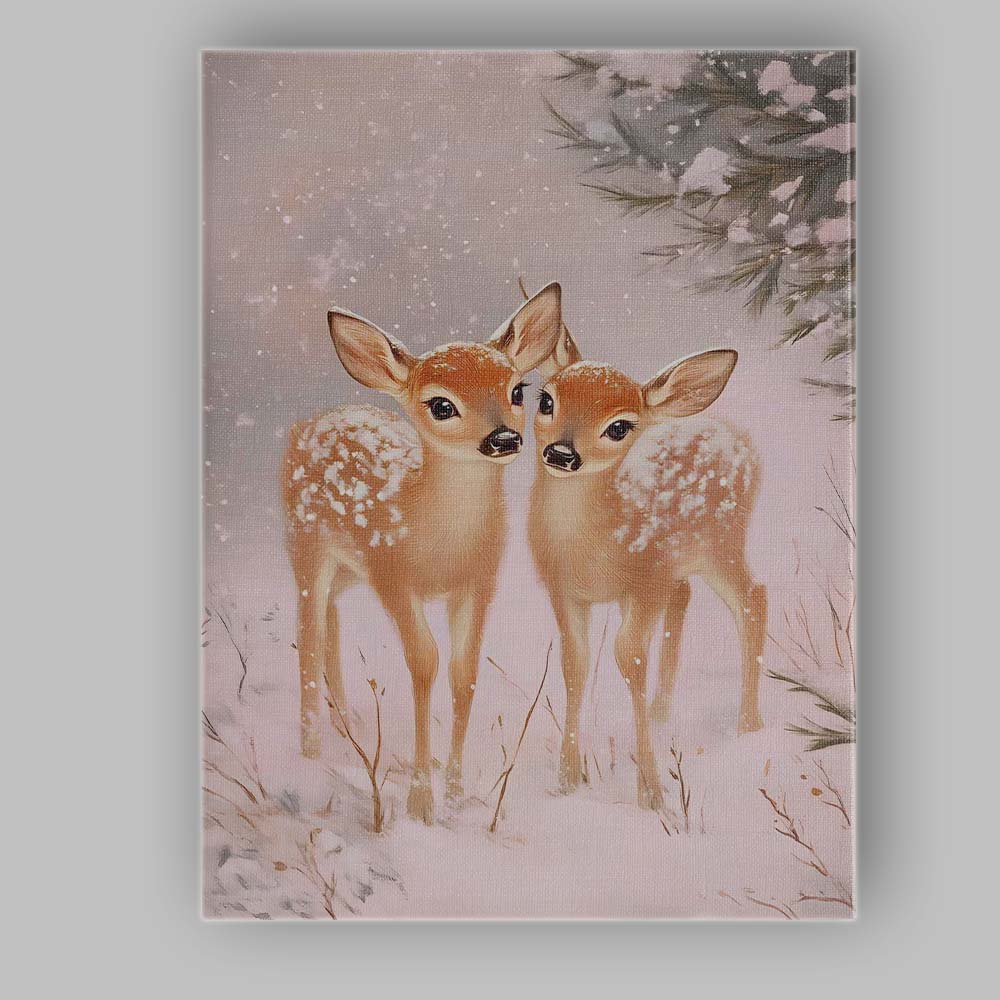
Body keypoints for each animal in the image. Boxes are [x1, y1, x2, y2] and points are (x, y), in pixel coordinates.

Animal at [282, 283, 564, 824]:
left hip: (349, 565)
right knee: (307, 633)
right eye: (441, 405)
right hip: (305, 543)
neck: (441, 543)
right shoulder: (392, 574)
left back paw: (346, 726)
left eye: (518, 391)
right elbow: (425, 663)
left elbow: (463, 671)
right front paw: (420, 802)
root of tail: (311, 422)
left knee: (330, 617)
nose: (503, 438)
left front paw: (453, 795)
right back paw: (309, 757)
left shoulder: (479, 581)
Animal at [527, 318, 765, 812]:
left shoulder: (643, 582)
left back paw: (748, 726)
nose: (562, 453)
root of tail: (737, 435)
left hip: (721, 542)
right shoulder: (564, 590)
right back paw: (661, 713)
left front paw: (651, 793)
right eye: (546, 400)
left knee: (753, 598)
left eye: (619, 426)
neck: (586, 551)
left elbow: (629, 658)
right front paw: (566, 779)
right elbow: (575, 664)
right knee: (686, 594)